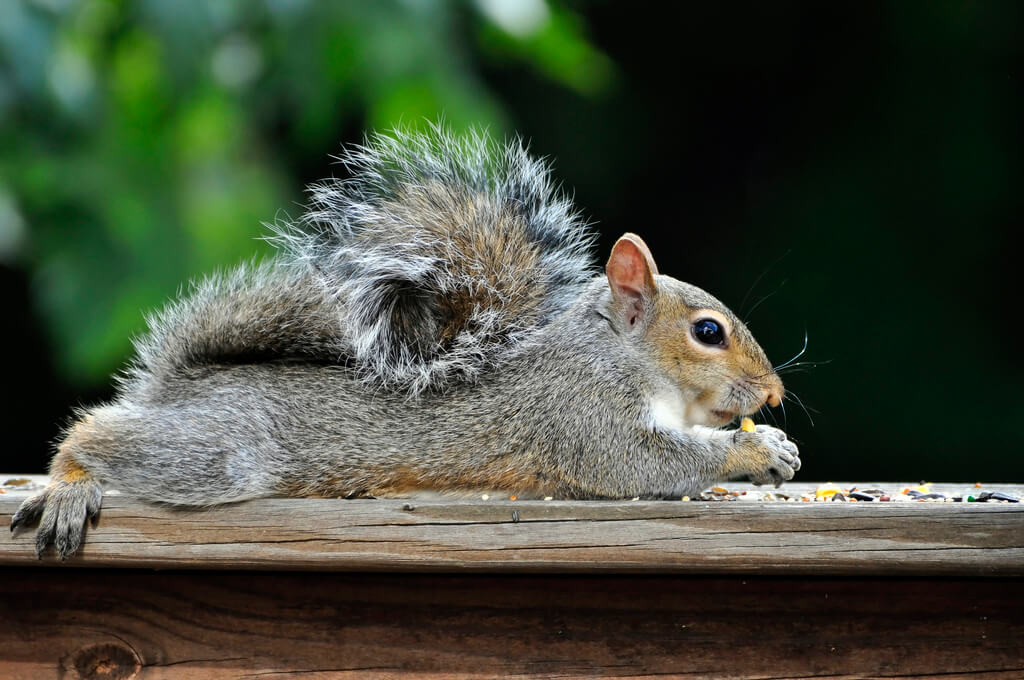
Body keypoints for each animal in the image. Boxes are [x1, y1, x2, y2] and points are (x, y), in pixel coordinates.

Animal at [12, 125, 802, 557]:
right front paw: (755, 450)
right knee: (96, 432)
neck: (616, 356)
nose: (774, 392)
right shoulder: (581, 416)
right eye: (708, 332)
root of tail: (181, 384)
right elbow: (642, 462)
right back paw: (69, 485)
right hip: (221, 449)